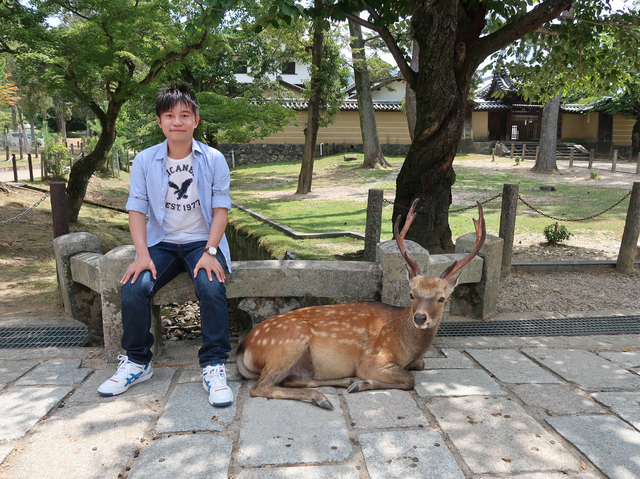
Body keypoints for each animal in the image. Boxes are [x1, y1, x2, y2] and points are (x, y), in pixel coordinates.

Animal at [235, 199, 484, 408]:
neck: (406, 344)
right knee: (261, 387)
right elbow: (409, 378)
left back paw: (344, 382)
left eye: (442, 298)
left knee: (290, 380)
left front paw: (359, 382)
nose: (420, 317)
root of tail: (243, 348)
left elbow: (420, 365)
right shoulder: (373, 359)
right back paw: (323, 397)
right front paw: (364, 382)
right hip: (288, 344)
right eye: (411, 293)